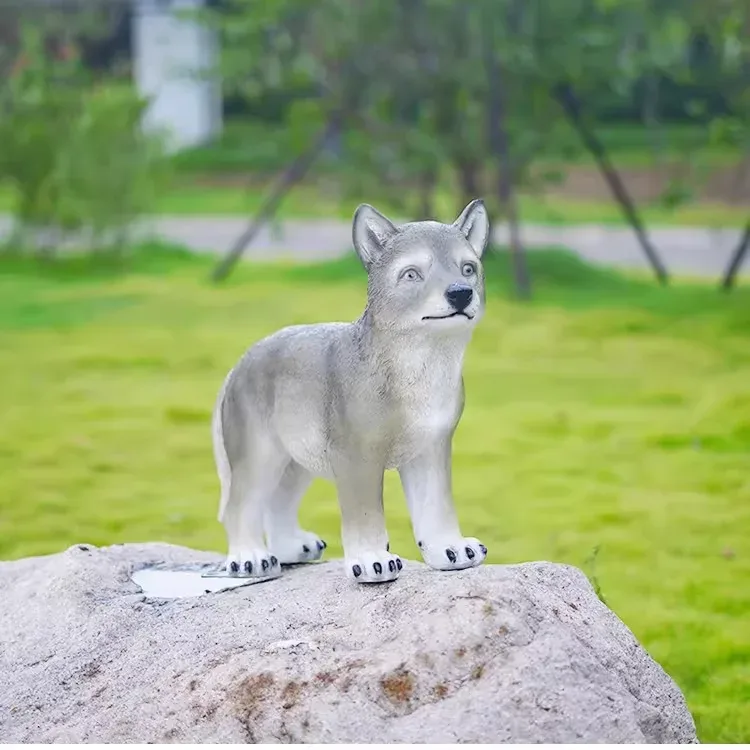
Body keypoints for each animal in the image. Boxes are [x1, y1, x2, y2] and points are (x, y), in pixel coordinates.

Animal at [212, 199, 490, 583]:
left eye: (468, 268)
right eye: (412, 274)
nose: (461, 293)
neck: (419, 368)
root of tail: (238, 365)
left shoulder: (431, 448)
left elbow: (436, 505)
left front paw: (451, 550)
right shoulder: (357, 456)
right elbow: (364, 513)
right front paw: (373, 561)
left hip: (297, 460)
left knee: (278, 501)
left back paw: (293, 548)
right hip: (259, 453)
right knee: (240, 505)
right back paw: (250, 558)